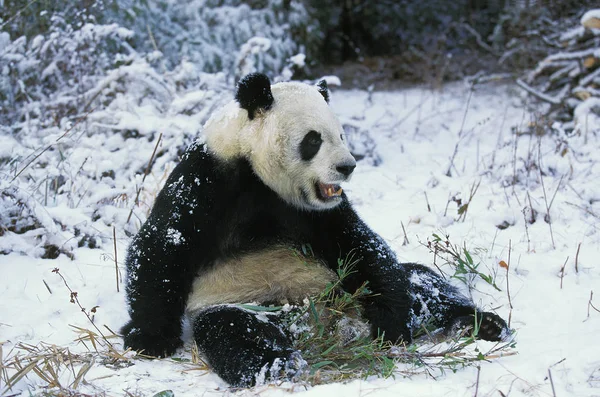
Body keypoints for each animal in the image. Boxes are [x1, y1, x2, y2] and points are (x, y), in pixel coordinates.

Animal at [120, 72, 506, 386]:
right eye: (313, 140)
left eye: (342, 134)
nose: (347, 166)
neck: (257, 172)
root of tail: (330, 324)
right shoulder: (208, 180)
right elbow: (164, 246)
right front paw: (149, 339)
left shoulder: (315, 211)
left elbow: (359, 245)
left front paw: (393, 323)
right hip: (249, 302)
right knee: (232, 330)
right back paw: (277, 363)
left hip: (345, 289)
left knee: (420, 281)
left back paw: (481, 323)